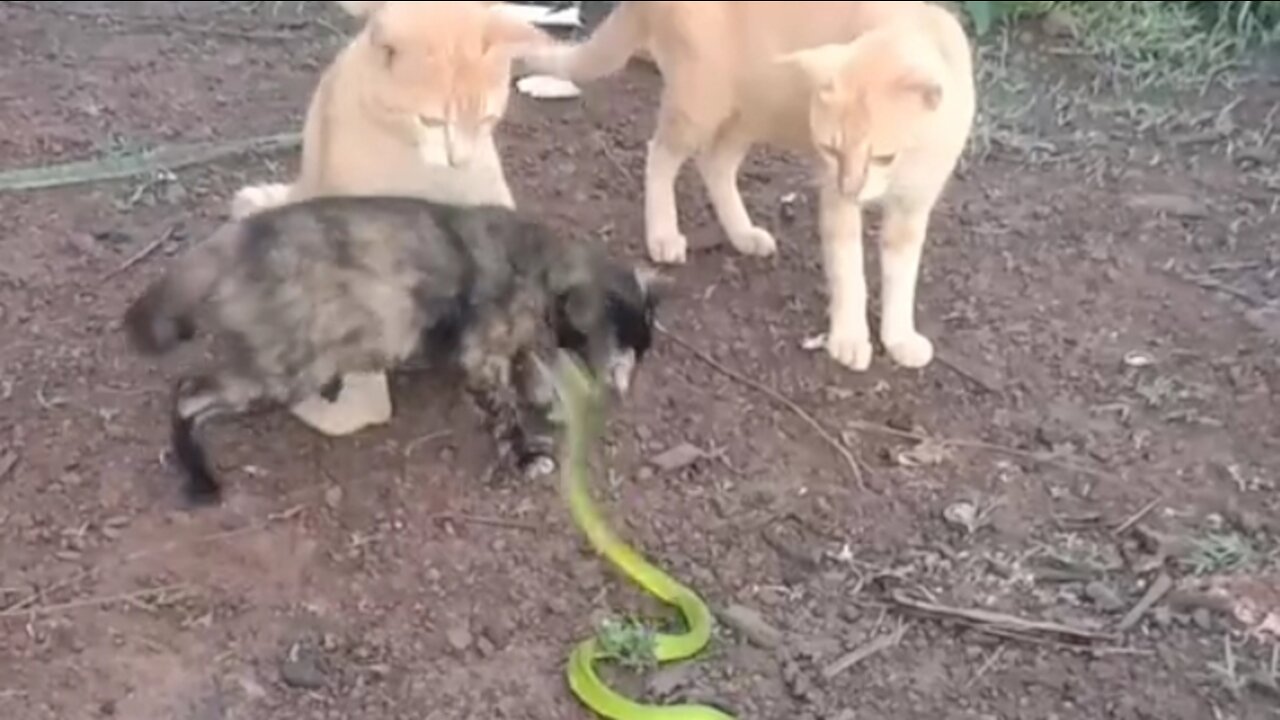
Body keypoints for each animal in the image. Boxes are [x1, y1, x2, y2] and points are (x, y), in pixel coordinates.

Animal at [514, 4, 972, 376]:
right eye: (830, 148)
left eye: (883, 157)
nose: (852, 186)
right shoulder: (837, 203)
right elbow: (850, 275)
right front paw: (849, 338)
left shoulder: (912, 210)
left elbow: (901, 278)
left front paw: (899, 337)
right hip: (701, 103)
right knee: (660, 156)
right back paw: (663, 234)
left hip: (753, 109)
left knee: (715, 163)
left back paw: (742, 233)